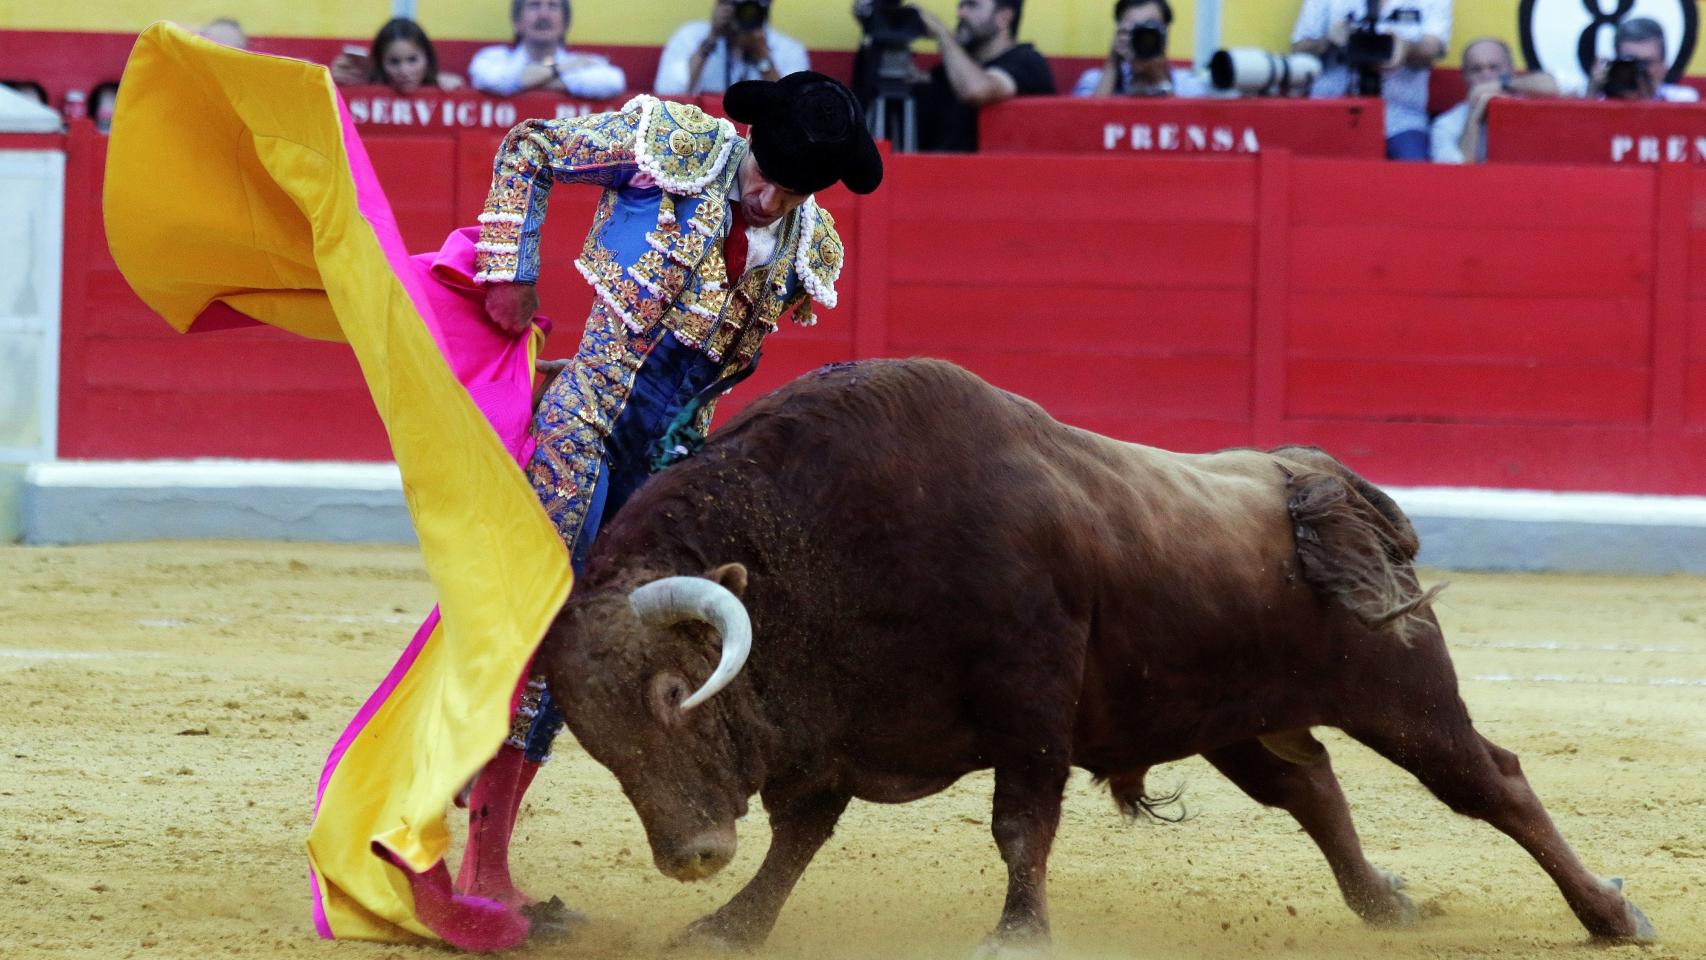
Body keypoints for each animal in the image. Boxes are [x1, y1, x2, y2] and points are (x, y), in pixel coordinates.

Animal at [539, 358, 1658, 954]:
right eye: (592, 740)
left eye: (676, 691)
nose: (689, 856)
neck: (826, 543)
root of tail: (1315, 482)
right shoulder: (832, 731)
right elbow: (799, 838)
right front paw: (727, 925)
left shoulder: (1028, 705)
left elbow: (1018, 827)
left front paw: (1015, 933)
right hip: (1237, 719)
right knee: (1313, 791)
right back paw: (1381, 901)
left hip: (1403, 696)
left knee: (1492, 783)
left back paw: (1609, 913)